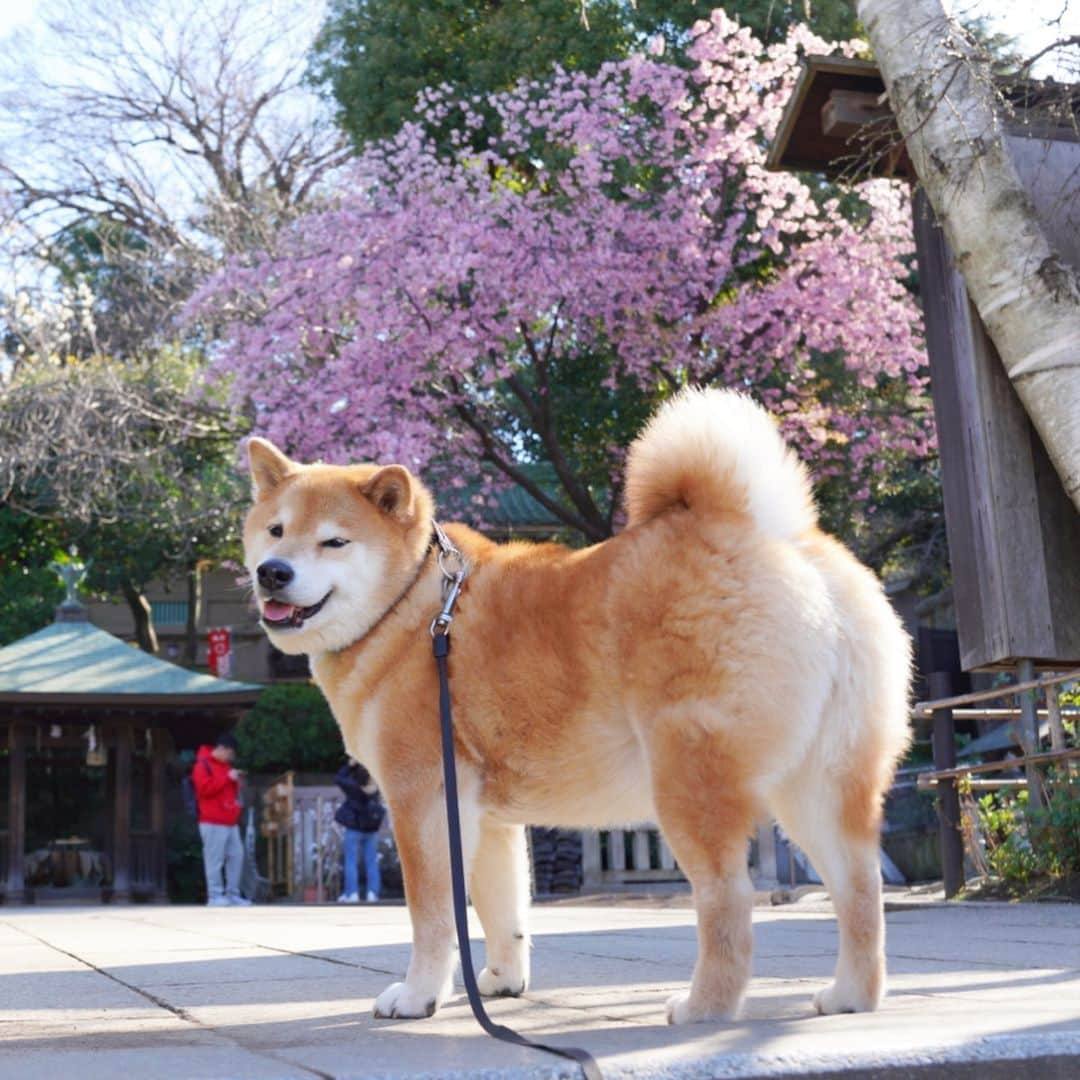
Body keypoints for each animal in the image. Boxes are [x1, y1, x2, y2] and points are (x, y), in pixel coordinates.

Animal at [245, 388, 911, 1019]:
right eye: (275, 530)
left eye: (334, 542)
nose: (272, 572)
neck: (412, 607)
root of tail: (766, 534)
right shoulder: (485, 816)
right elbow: (502, 909)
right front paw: (501, 982)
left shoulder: (422, 797)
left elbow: (432, 914)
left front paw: (418, 996)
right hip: (818, 785)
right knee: (859, 887)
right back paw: (851, 995)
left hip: (693, 779)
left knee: (728, 898)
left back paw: (704, 1007)